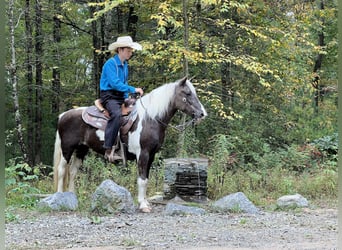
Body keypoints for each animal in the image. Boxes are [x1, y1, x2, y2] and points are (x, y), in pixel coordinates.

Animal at [52, 75, 207, 211]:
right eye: (187, 93)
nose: (202, 114)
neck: (150, 119)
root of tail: (63, 115)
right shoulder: (143, 154)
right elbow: (141, 179)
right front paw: (143, 205)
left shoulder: (151, 155)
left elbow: (146, 179)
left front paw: (145, 202)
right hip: (67, 149)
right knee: (62, 170)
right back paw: (60, 197)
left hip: (81, 149)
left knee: (73, 171)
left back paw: (72, 195)